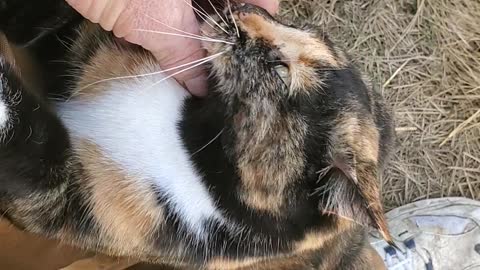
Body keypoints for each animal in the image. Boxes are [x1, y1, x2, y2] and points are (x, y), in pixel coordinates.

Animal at [0, 1, 394, 268]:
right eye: (303, 28)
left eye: (280, 71)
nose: (243, 7)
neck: (188, 131)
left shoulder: (65, 204)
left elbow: (36, 149)